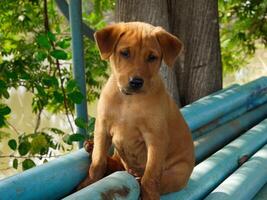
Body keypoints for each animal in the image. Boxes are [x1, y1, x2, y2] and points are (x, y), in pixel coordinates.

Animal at [79, 21, 195, 199]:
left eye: (152, 57)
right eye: (125, 53)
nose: (136, 82)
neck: (129, 100)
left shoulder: (156, 138)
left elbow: (151, 178)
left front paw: (149, 196)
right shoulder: (102, 127)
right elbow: (97, 162)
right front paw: (88, 183)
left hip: (177, 173)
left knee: (149, 179)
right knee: (115, 163)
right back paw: (91, 147)